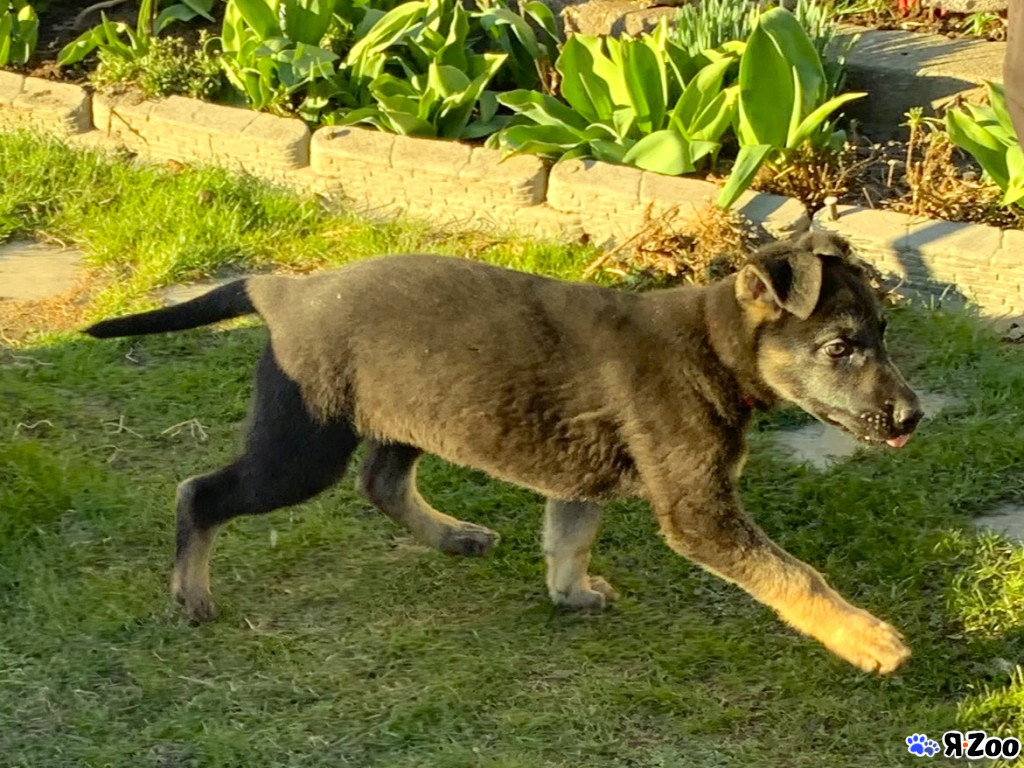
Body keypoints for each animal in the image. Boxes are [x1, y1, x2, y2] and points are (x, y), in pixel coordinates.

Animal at [84, 231, 922, 674]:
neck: (713, 347)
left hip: (403, 414)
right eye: (840, 346)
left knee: (381, 483)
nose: (911, 417)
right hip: (301, 448)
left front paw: (570, 595)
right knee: (201, 492)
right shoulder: (699, 511)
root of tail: (283, 291)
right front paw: (868, 639)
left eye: (882, 334)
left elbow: (568, 543)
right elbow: (795, 575)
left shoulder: (583, 478)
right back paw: (191, 594)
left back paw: (454, 535)